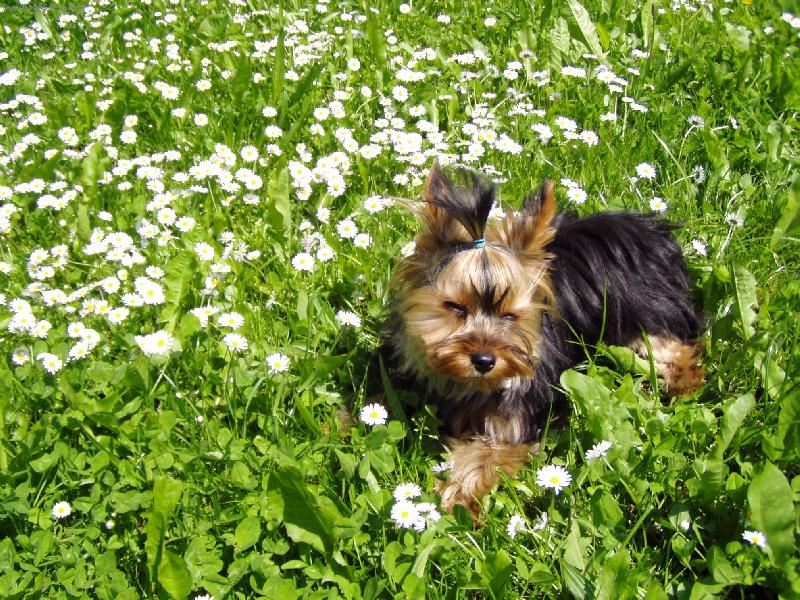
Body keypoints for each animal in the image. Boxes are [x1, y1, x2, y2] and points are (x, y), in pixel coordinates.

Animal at [384, 162, 703, 515]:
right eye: (455, 307)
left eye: (510, 315)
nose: (484, 360)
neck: (469, 385)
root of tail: (652, 229)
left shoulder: (517, 420)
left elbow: (486, 454)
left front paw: (456, 498)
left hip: (646, 320)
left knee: (674, 349)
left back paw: (683, 387)